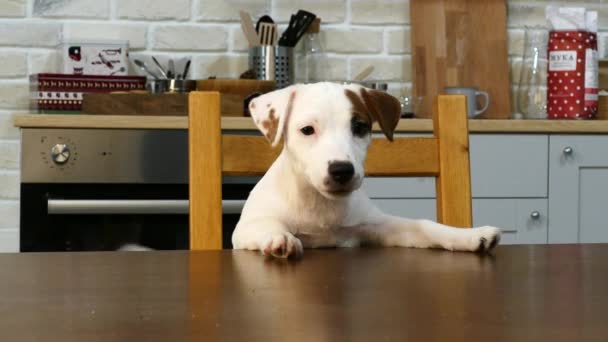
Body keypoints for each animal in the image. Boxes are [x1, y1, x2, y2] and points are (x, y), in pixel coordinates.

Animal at [230, 83, 502, 260]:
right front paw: (280, 238)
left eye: (359, 127)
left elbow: (425, 226)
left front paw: (470, 236)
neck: (320, 204)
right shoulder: (244, 229)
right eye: (307, 130)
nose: (342, 170)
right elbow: (267, 225)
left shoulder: (378, 226)